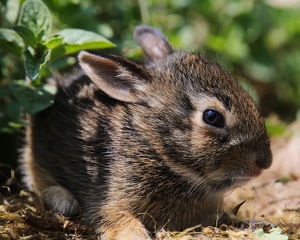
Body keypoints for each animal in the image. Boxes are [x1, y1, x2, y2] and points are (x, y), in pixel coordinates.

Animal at [20, 25, 272, 239]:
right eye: (212, 117)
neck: (153, 145)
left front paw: (258, 224)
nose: (265, 163)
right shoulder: (110, 203)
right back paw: (63, 200)